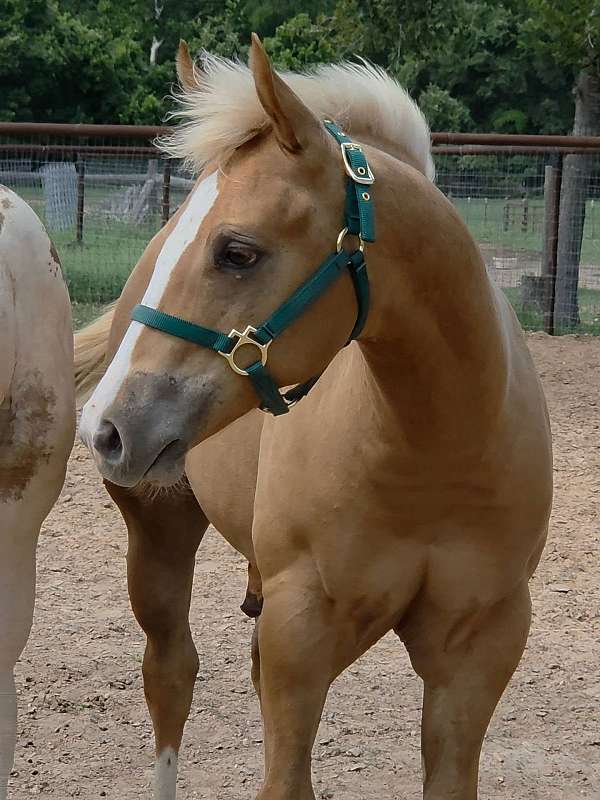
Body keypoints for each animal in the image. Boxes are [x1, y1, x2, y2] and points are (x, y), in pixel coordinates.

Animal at [75, 37, 553, 800]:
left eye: (237, 251)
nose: (106, 426)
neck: (431, 454)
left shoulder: (479, 645)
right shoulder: (302, 632)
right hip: (159, 530)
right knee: (170, 674)